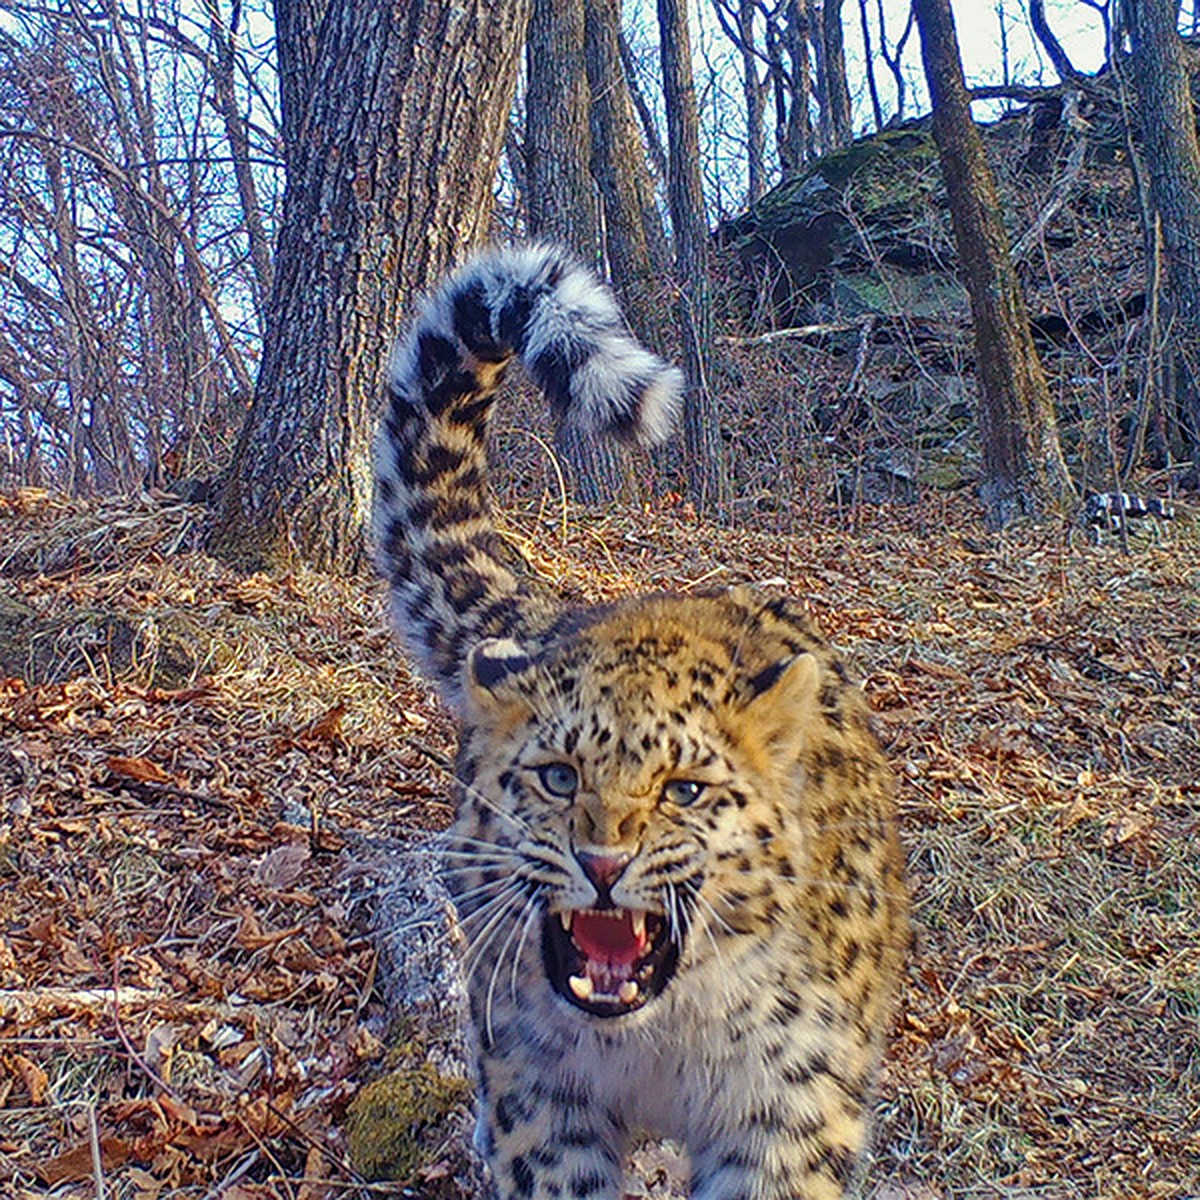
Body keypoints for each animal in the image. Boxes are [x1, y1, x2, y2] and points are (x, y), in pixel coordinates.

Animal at [369, 243, 902, 1200]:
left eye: (685, 790)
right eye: (557, 777)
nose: (603, 864)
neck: (661, 1038)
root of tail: (560, 613)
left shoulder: (786, 1116)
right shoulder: (536, 1099)